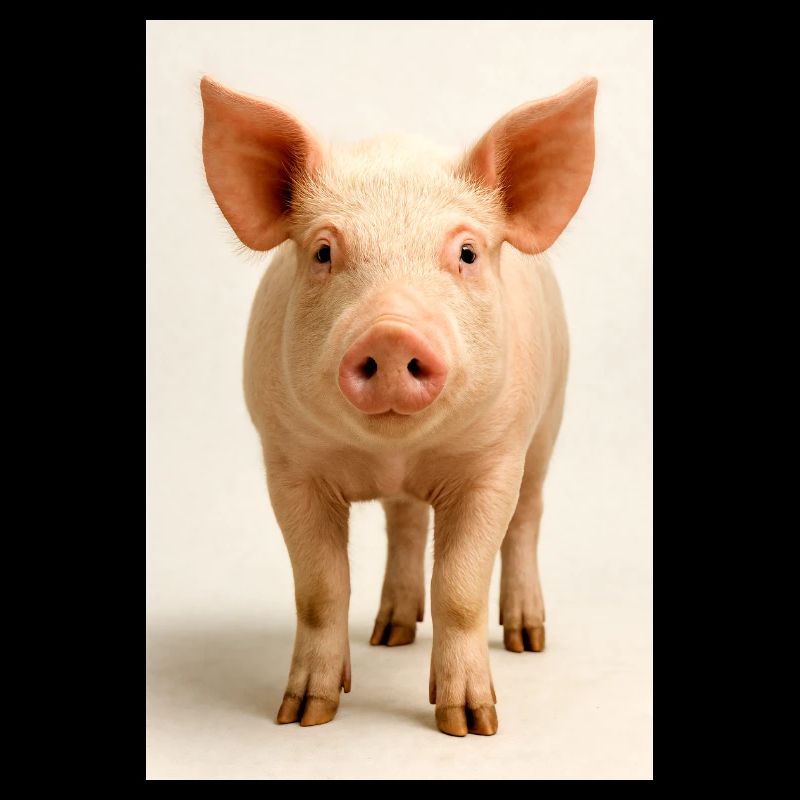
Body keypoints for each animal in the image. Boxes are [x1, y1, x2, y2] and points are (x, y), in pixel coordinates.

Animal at [200, 74, 597, 737]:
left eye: (466, 253)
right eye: (323, 252)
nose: (390, 333)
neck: (395, 453)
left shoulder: (494, 460)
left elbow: (460, 586)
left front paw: (472, 725)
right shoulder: (287, 463)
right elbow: (320, 588)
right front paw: (303, 716)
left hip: (551, 419)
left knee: (527, 519)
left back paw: (526, 639)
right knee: (406, 523)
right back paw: (389, 635)